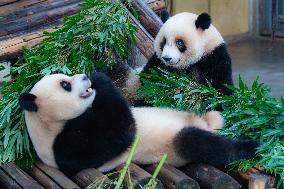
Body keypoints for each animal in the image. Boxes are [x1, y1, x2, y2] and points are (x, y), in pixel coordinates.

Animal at [18, 72, 258, 176]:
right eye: (65, 84)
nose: (85, 76)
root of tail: (206, 123)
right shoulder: (66, 148)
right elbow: (121, 133)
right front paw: (100, 79)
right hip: (177, 142)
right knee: (201, 143)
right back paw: (251, 146)